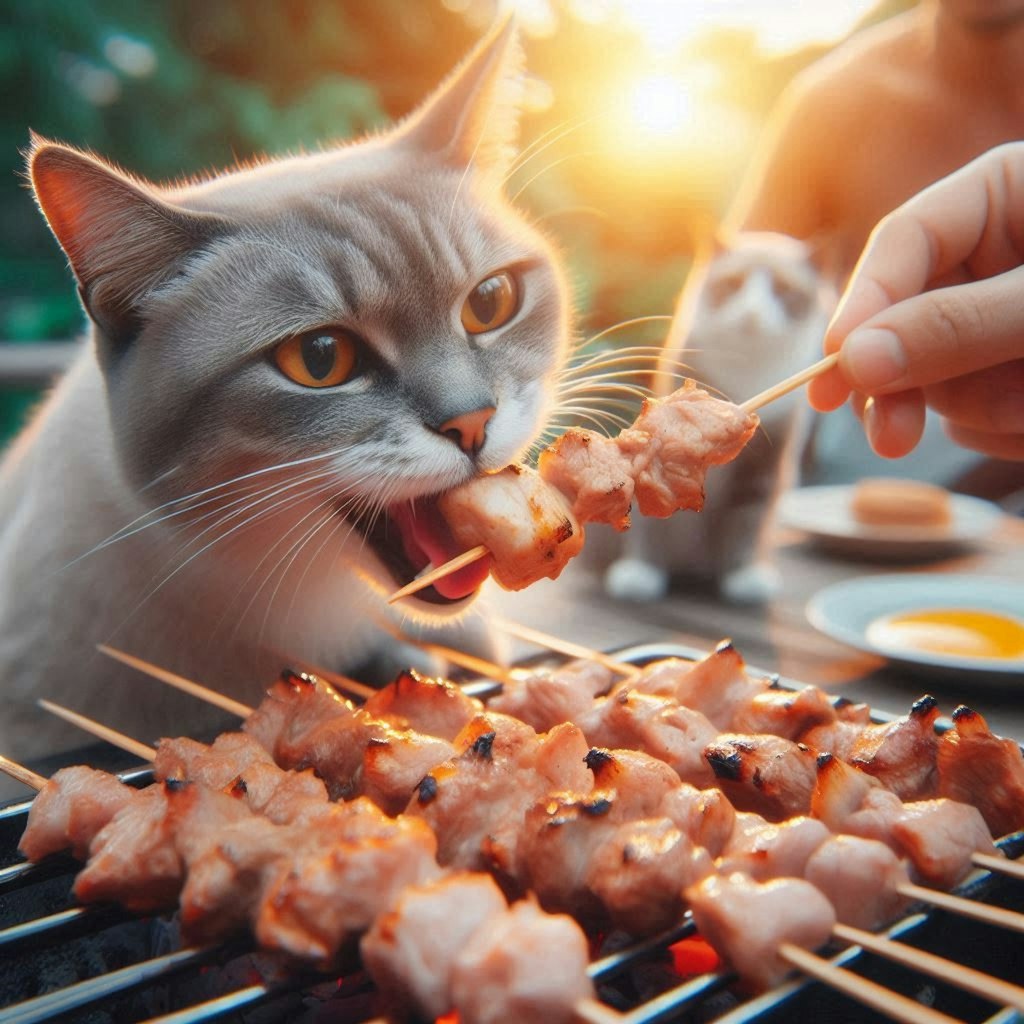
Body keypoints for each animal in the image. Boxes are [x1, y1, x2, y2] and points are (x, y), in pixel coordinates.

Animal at [606, 233, 831, 606]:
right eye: (734, 284)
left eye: (782, 290)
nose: (753, 313)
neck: (746, 372)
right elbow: (653, 519)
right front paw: (641, 572)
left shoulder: (766, 463)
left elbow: (747, 521)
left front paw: (745, 577)